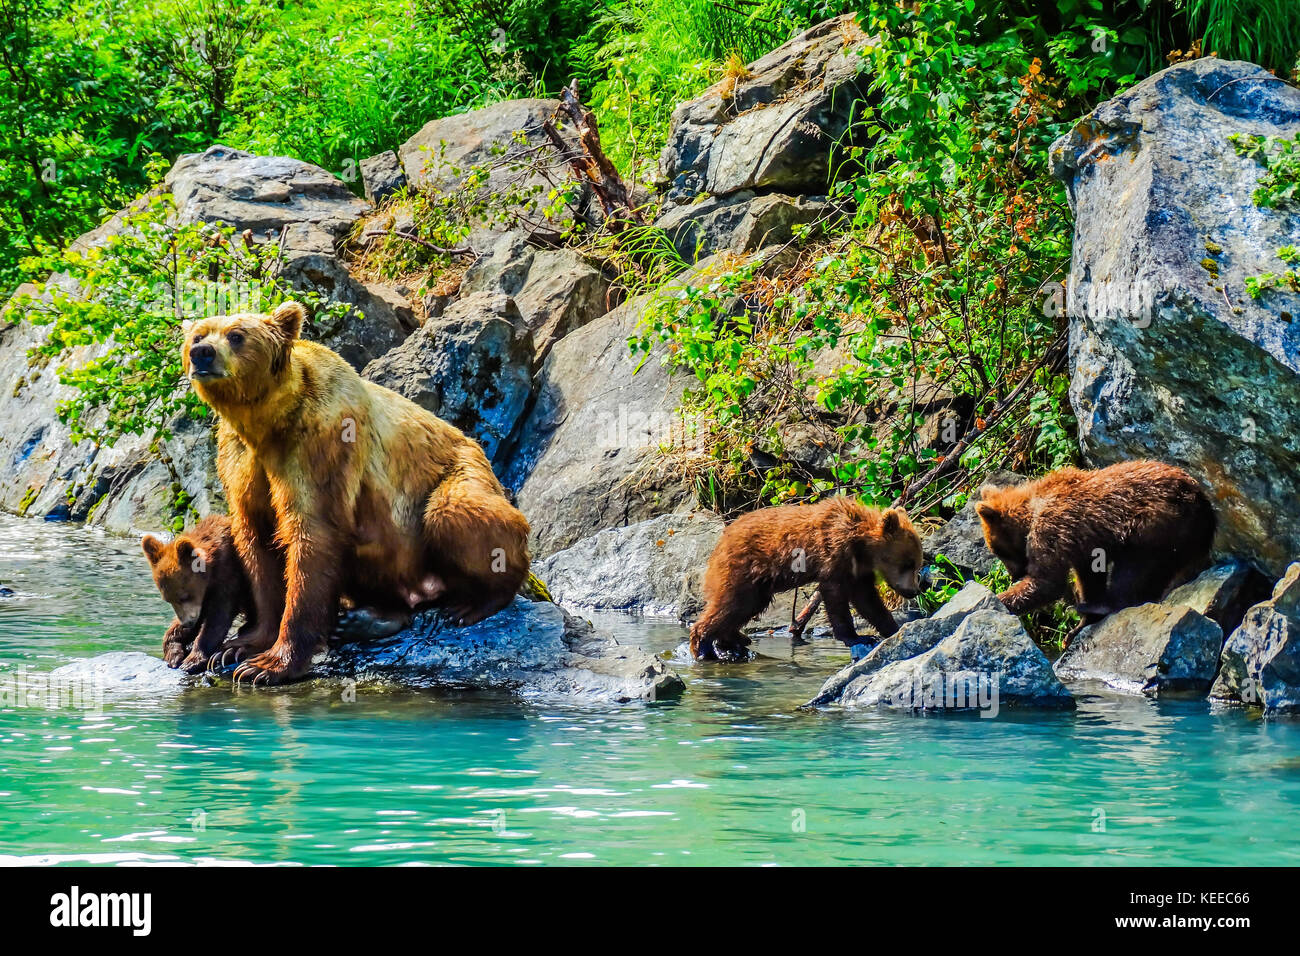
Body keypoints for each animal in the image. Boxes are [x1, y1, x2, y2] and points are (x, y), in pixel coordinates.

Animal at [180, 303, 530, 686]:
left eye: (236, 335)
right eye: (198, 335)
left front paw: (270, 664)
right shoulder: (239, 458)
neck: (267, 421)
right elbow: (257, 540)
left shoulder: (321, 442)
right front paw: (239, 647)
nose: (202, 353)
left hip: (461, 472)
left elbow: (312, 535)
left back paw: (474, 601)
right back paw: (364, 618)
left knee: (456, 513)